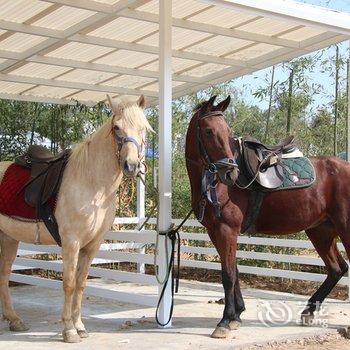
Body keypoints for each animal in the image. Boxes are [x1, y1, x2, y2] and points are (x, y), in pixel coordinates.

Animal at [0, 94, 152, 344]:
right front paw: (69, 330)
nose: (131, 166)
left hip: (9, 237)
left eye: (144, 129)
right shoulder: (71, 242)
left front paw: (80, 326)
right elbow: (69, 283)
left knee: (4, 274)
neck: (91, 182)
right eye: (116, 127)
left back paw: (14, 319)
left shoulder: (92, 245)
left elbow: (81, 283)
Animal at [186, 95, 350, 340]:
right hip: (321, 231)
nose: (230, 173)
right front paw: (236, 316)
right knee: (337, 268)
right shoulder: (215, 232)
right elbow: (234, 271)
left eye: (226, 131)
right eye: (208, 131)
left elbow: (228, 275)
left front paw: (224, 321)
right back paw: (308, 312)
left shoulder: (227, 230)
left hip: (343, 228)